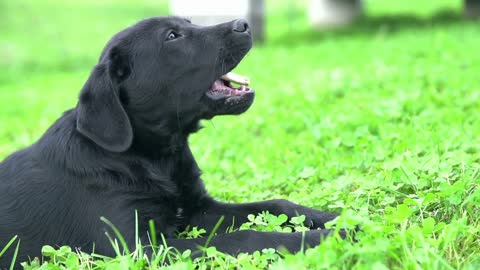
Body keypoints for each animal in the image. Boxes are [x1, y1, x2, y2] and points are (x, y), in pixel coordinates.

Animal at [0, 16, 342, 268]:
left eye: (188, 23)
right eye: (172, 37)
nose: (243, 23)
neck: (156, 157)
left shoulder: (197, 209)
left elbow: (276, 205)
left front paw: (335, 219)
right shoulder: (139, 248)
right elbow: (245, 237)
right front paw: (326, 237)